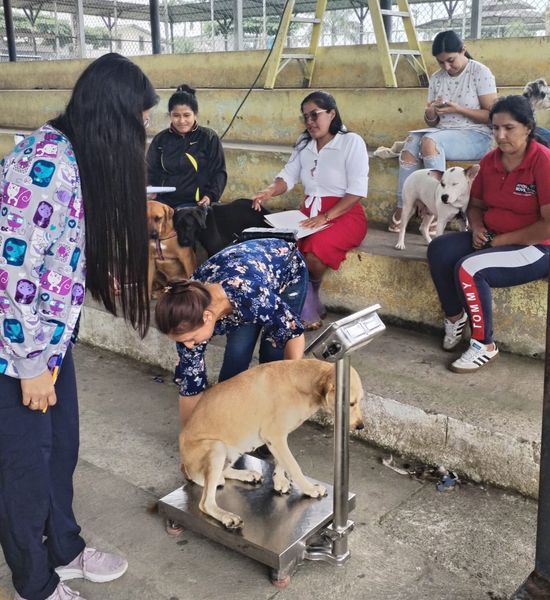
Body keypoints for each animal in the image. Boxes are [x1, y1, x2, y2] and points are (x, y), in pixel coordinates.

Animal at [179, 358, 365, 529]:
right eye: (351, 403)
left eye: (360, 400)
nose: (360, 426)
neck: (301, 384)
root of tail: (185, 466)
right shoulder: (274, 435)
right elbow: (294, 466)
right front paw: (309, 489)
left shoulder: (278, 437)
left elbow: (282, 461)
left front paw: (279, 480)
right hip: (216, 448)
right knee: (206, 503)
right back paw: (226, 516)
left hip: (232, 449)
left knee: (222, 474)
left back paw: (245, 474)